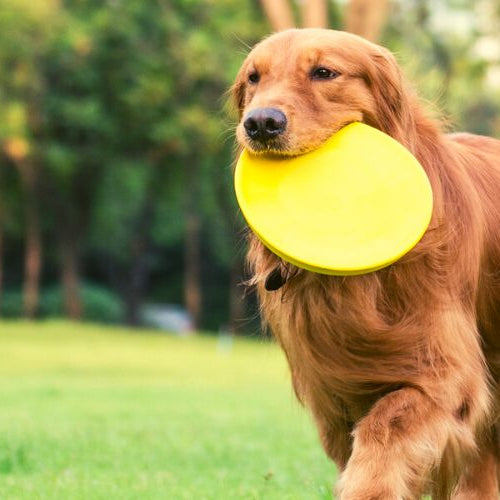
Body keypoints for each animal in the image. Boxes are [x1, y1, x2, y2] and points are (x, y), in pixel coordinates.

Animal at [231, 28, 500, 500]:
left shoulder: (448, 373)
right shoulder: (331, 393)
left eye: (324, 72)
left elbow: (386, 424)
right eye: (253, 77)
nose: (261, 123)